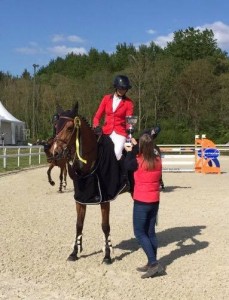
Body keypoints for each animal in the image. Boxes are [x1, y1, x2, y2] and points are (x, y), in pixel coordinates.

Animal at [52, 103, 127, 264]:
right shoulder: (81, 199)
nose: (56, 153)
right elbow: (79, 225)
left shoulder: (105, 199)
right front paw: (74, 252)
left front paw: (107, 255)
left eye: (70, 127)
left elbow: (105, 226)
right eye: (55, 126)